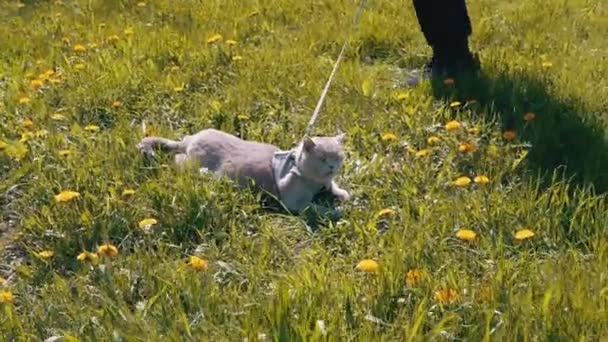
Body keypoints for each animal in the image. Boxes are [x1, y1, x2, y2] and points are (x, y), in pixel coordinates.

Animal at [136, 130, 350, 215]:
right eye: (323, 158)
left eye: (338, 157)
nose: (332, 166)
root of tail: (188, 140)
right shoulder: (294, 203)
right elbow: (316, 208)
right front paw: (336, 211)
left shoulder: (326, 183)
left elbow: (333, 186)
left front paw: (343, 194)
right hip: (193, 164)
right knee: (177, 160)